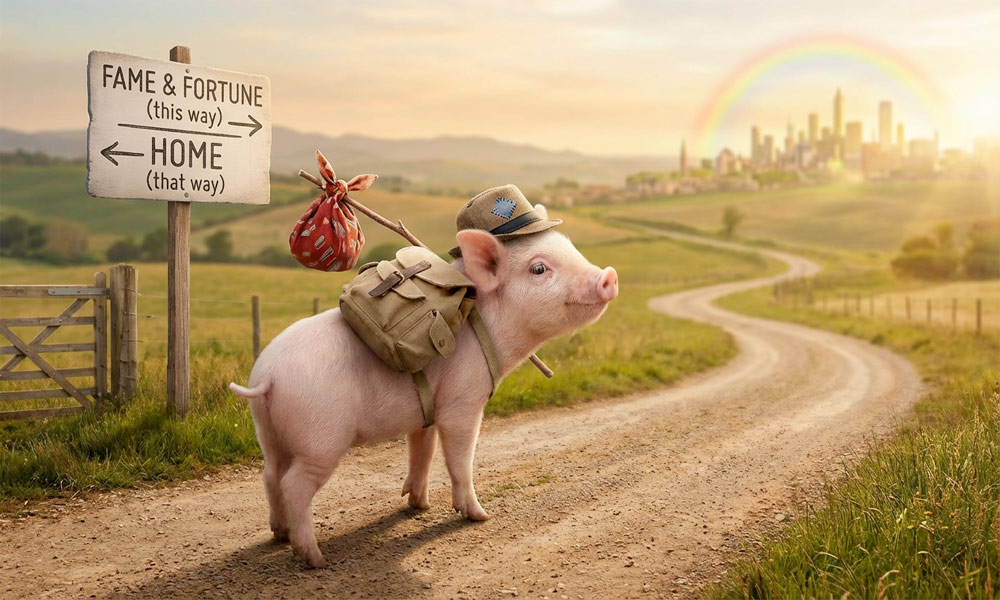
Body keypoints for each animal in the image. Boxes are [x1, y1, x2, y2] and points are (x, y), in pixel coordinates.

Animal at [229, 207, 619, 568]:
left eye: (571, 247)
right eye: (538, 269)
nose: (609, 275)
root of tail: (267, 377)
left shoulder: (425, 412)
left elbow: (423, 452)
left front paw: (419, 505)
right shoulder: (463, 401)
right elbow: (460, 460)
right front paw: (480, 516)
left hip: (267, 430)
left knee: (270, 475)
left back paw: (280, 535)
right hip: (320, 437)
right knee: (294, 485)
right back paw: (314, 558)